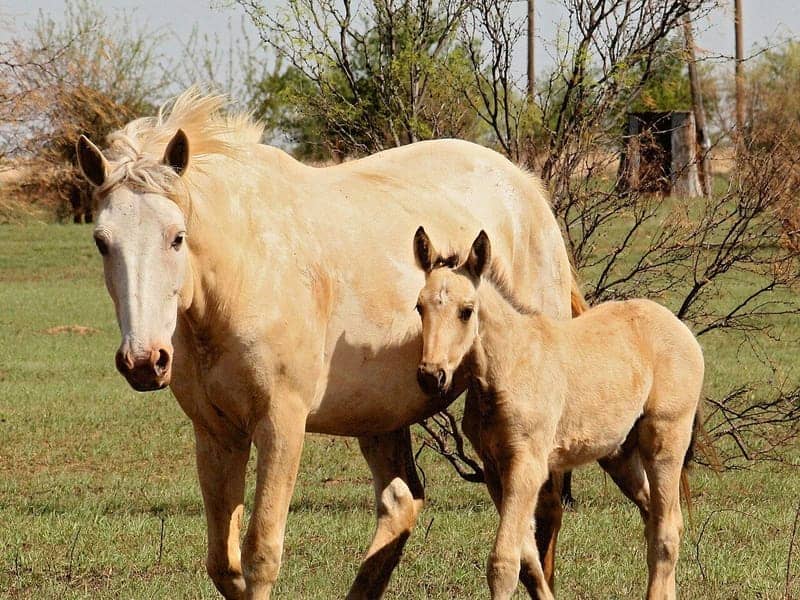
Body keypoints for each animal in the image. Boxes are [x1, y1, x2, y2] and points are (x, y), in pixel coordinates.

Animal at [74, 89, 585, 599]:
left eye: (177, 238)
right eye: (101, 241)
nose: (144, 361)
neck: (245, 272)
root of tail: (528, 190)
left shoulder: (281, 424)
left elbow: (261, 554)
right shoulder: (216, 433)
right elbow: (224, 563)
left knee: (542, 509)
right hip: (380, 415)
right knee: (404, 502)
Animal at [412, 227, 704, 600]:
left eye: (466, 311)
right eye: (419, 306)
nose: (430, 375)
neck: (510, 365)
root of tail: (680, 328)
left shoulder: (527, 466)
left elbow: (504, 562)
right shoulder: (494, 469)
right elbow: (528, 559)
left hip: (665, 441)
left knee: (666, 531)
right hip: (620, 455)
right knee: (656, 520)